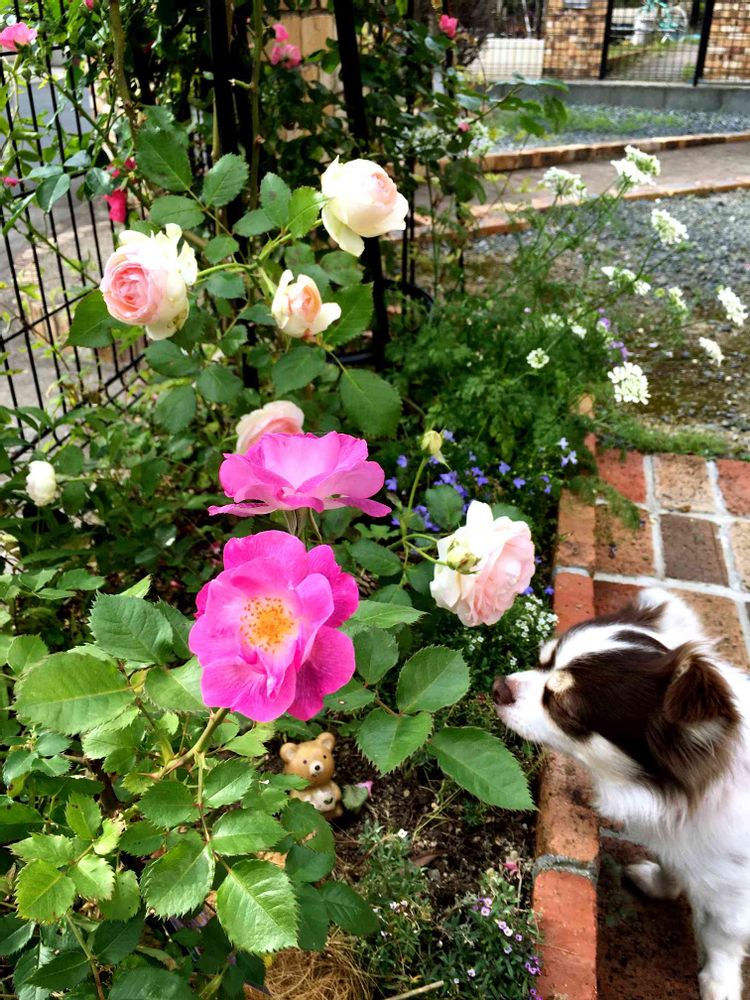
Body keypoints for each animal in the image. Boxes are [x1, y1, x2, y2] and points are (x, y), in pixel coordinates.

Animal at [493, 587, 750, 1000]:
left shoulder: (735, 891)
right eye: (541, 660)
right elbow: (673, 864)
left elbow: (722, 934)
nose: (499, 686)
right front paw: (662, 885)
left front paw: (719, 982)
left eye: (564, 709)